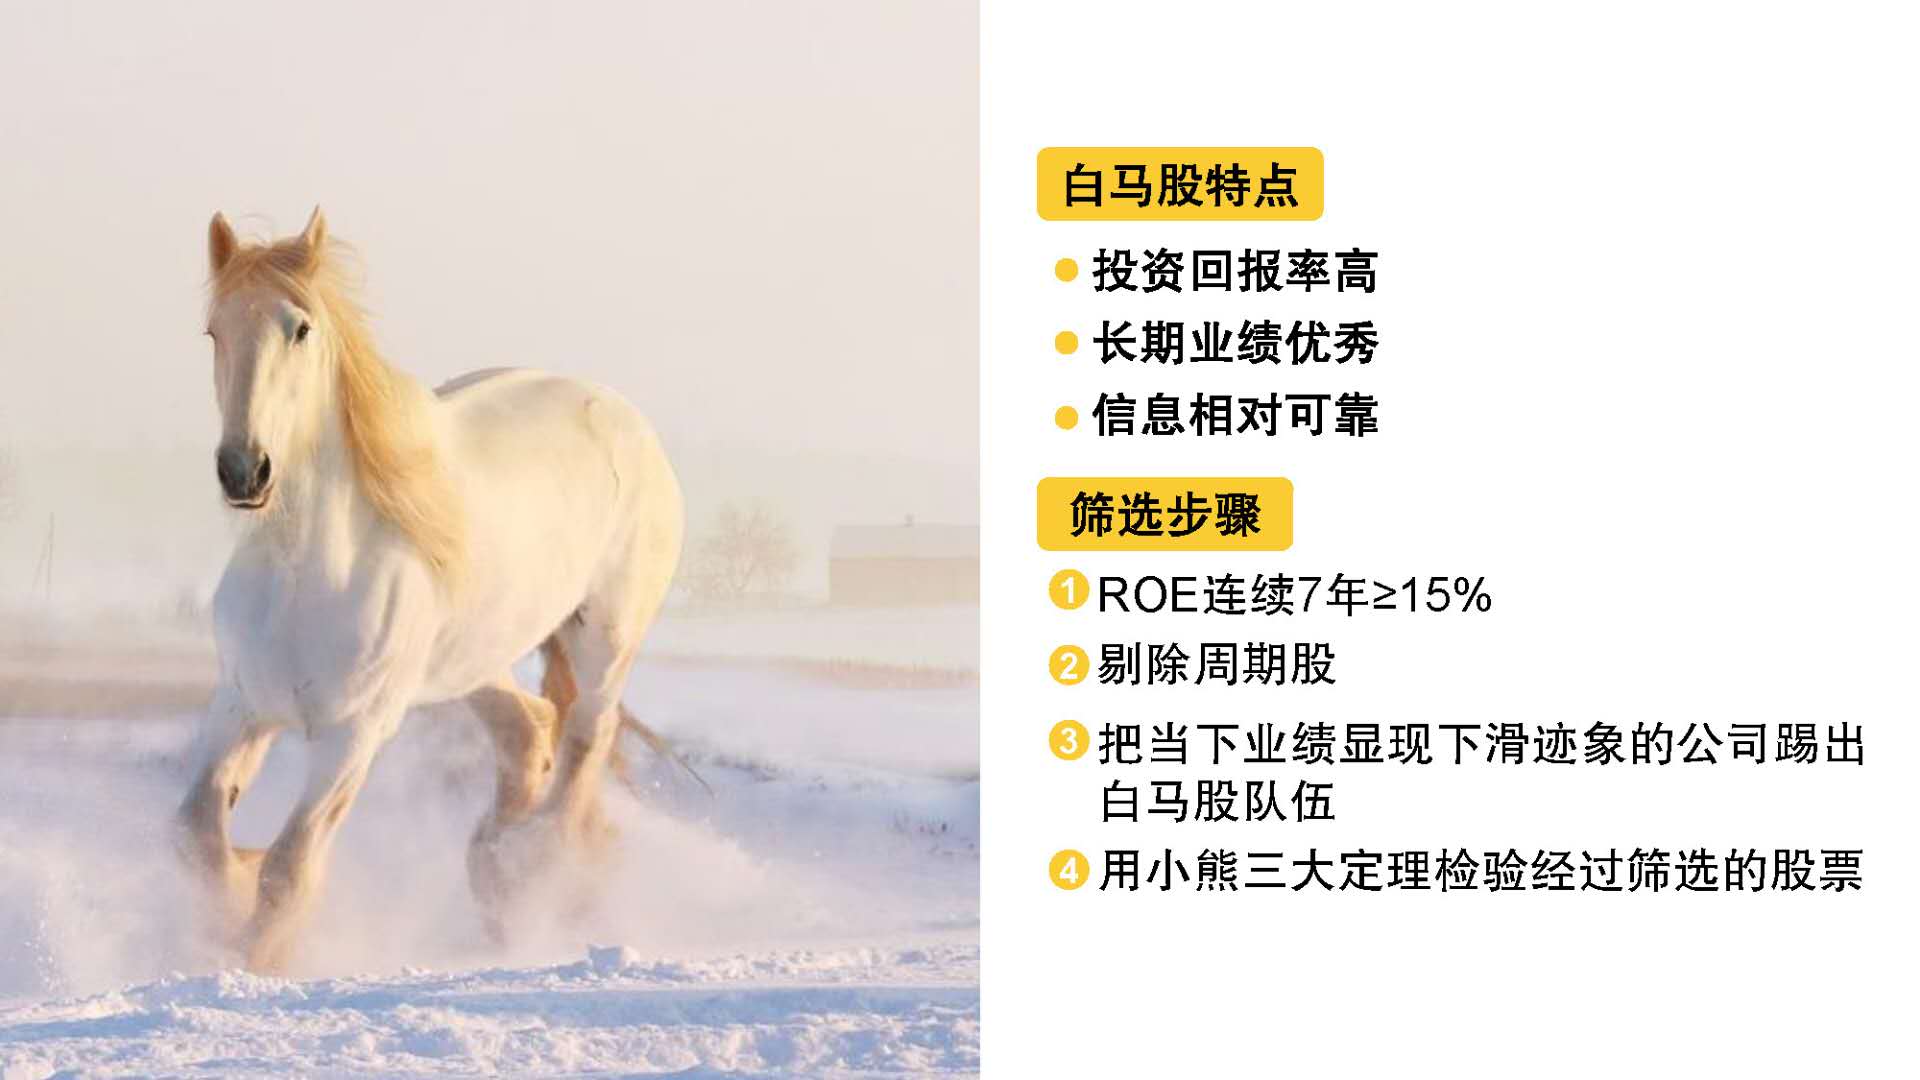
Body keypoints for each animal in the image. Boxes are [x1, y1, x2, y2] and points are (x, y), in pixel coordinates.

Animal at [174, 207, 685, 973]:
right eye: (215, 331)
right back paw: (496, 873)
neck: (306, 573)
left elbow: (289, 869)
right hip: (471, 661)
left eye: (301, 328)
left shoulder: (354, 732)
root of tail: (625, 418)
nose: (244, 470)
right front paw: (228, 906)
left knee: (584, 743)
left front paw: (256, 960)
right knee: (529, 729)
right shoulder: (241, 705)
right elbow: (198, 835)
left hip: (604, 640)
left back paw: (533, 874)